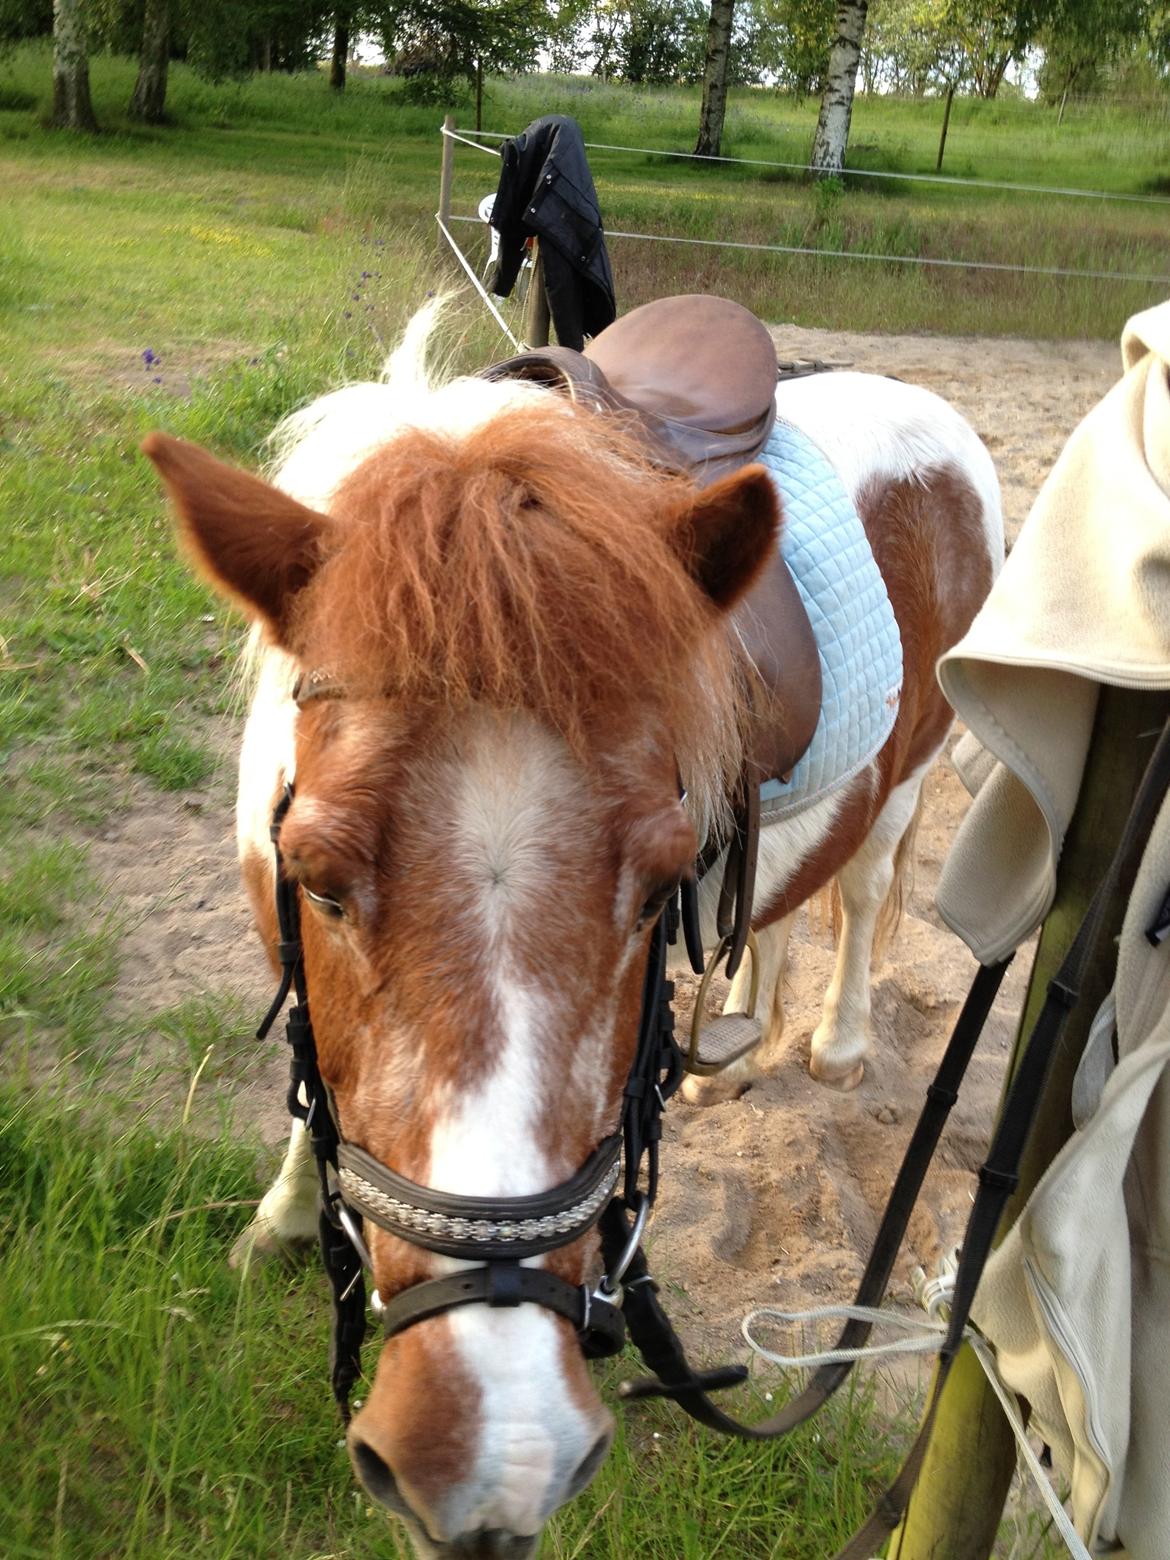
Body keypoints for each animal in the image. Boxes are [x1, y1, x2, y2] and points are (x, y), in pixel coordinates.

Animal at [144, 304, 1010, 1560]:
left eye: (654, 890)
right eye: (318, 881)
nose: (497, 1458)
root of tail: (936, 414)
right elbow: (317, 1094)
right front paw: (284, 1221)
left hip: (914, 764)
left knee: (858, 892)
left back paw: (835, 1045)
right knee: (778, 914)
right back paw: (732, 1042)